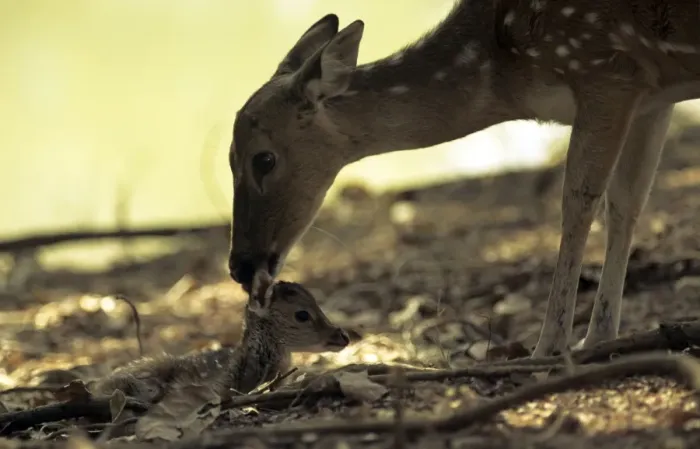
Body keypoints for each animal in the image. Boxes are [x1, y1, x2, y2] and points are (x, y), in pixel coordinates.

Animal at [227, 0, 700, 358]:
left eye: (263, 159)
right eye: (228, 158)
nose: (239, 265)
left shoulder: (604, 70)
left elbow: (579, 202)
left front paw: (548, 346)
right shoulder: (650, 96)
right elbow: (626, 204)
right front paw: (599, 338)